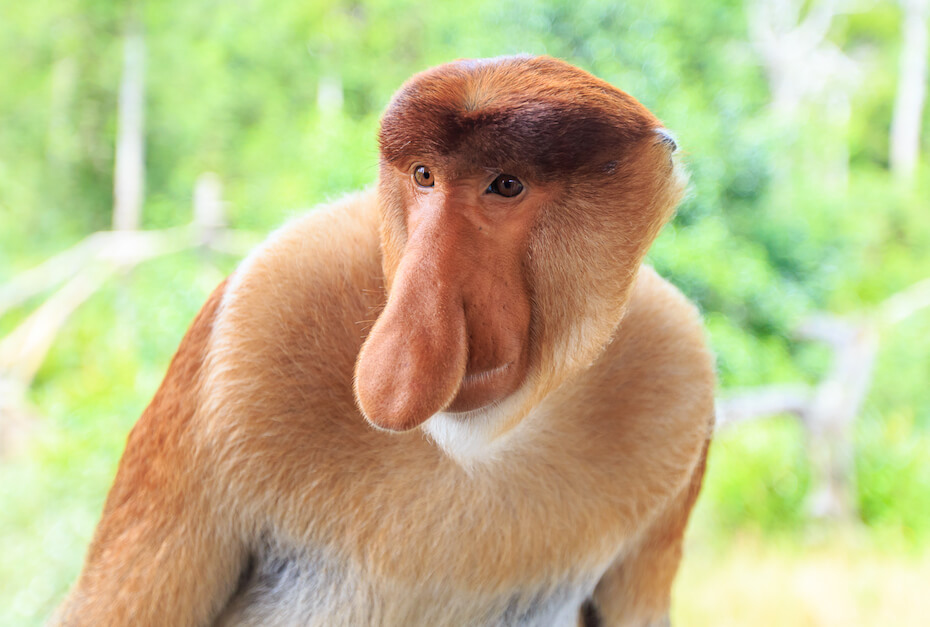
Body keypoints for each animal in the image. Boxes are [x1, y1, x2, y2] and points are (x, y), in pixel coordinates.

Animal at [54, 55, 714, 627]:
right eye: (424, 176)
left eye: (506, 185)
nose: (404, 356)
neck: (475, 441)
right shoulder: (261, 309)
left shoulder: (677, 367)